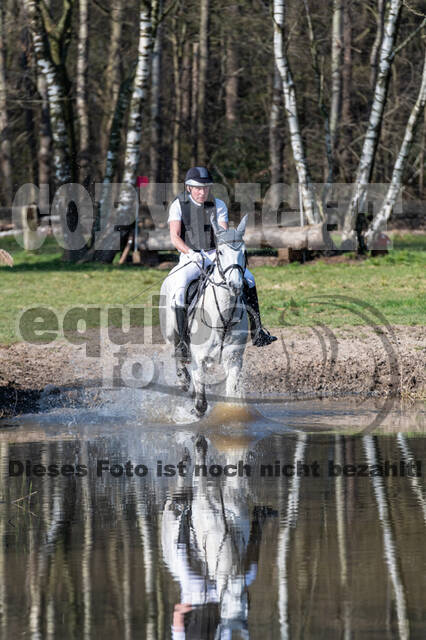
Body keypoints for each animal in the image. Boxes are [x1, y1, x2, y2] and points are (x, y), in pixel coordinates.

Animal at [160, 212, 248, 418]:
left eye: (245, 252)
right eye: (220, 252)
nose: (235, 285)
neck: (223, 319)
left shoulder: (234, 359)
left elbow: (232, 396)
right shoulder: (199, 358)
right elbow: (200, 403)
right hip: (170, 333)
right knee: (177, 352)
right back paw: (183, 380)